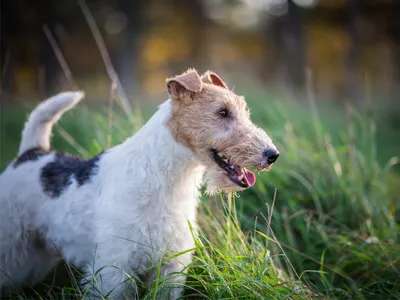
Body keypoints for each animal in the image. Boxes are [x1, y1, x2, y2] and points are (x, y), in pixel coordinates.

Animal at [0, 69, 278, 298]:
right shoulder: (114, 268)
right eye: (222, 112)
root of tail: (32, 152)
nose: (272, 154)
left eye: (244, 111)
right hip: (13, 244)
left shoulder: (170, 265)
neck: (167, 178)